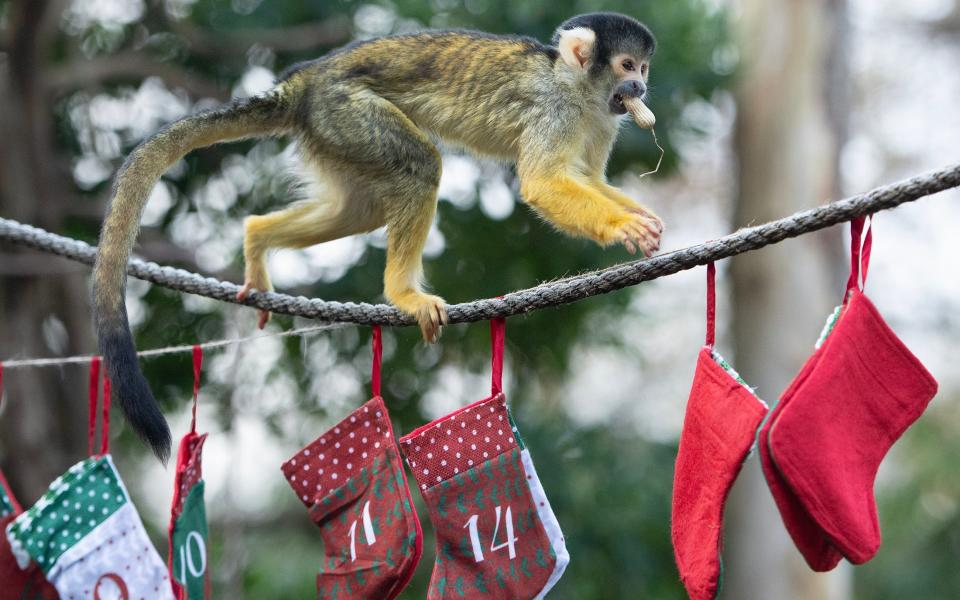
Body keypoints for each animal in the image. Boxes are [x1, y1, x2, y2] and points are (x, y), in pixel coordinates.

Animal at [94, 11, 660, 458]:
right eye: (627, 66)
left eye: (643, 68)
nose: (641, 89)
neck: (575, 85)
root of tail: (303, 82)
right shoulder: (554, 107)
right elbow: (544, 183)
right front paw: (625, 226)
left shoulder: (603, 117)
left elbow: (589, 180)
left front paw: (648, 221)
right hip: (347, 112)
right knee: (418, 168)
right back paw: (402, 292)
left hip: (332, 132)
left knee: (360, 208)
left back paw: (257, 240)